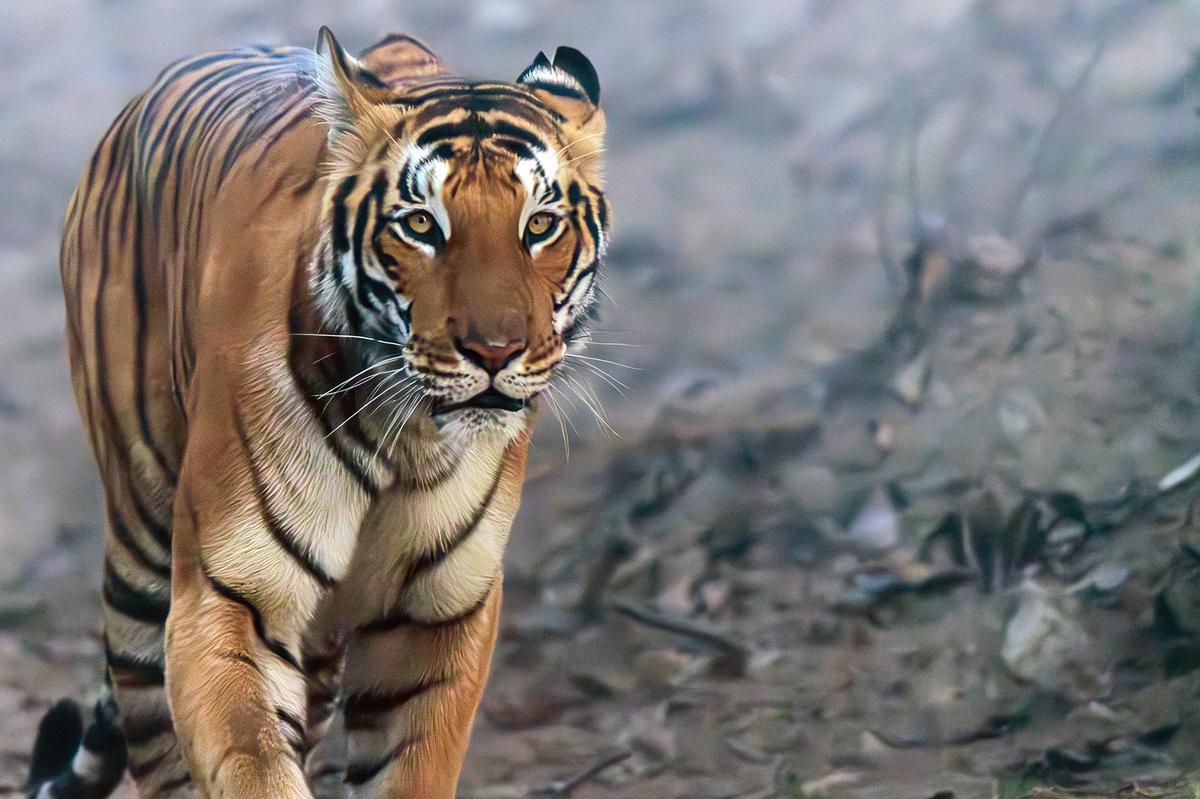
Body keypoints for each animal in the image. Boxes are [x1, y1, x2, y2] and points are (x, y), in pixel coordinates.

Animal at [28, 26, 608, 799]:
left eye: (540, 224)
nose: (495, 350)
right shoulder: (230, 595)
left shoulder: (440, 611)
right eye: (421, 224)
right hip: (143, 548)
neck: (408, 437)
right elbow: (251, 759)